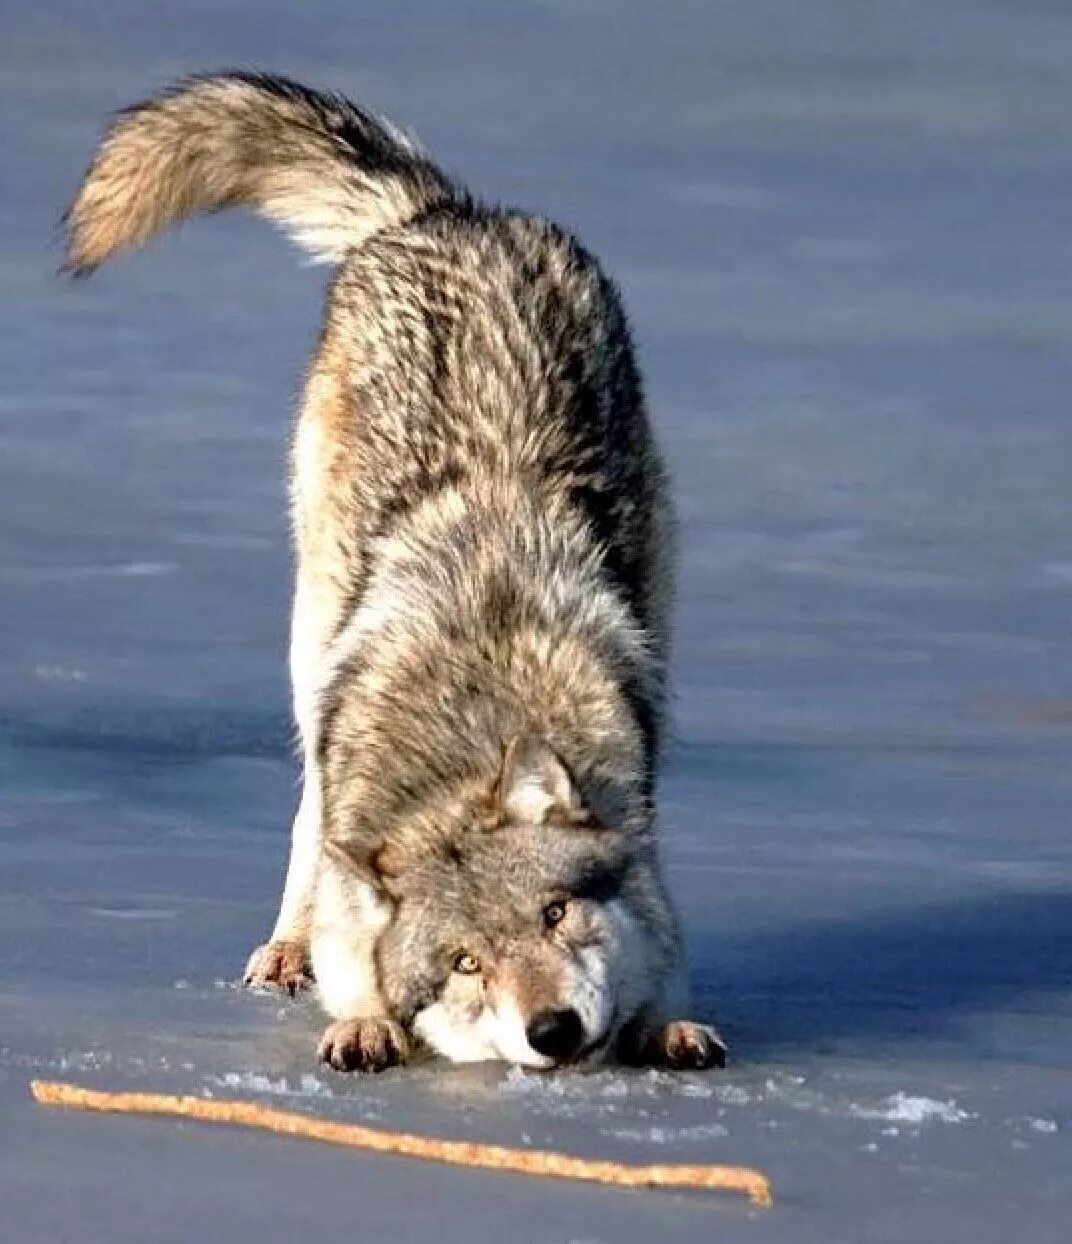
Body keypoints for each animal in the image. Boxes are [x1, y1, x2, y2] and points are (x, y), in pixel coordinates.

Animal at [62, 72, 726, 1074]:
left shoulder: (641, 840)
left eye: (556, 915)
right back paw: (288, 947)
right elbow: (356, 952)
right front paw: (363, 1017)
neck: (479, 719)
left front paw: (666, 1026)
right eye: (467, 962)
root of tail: (450, 213)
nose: (553, 1030)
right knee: (308, 817)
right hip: (311, 633)